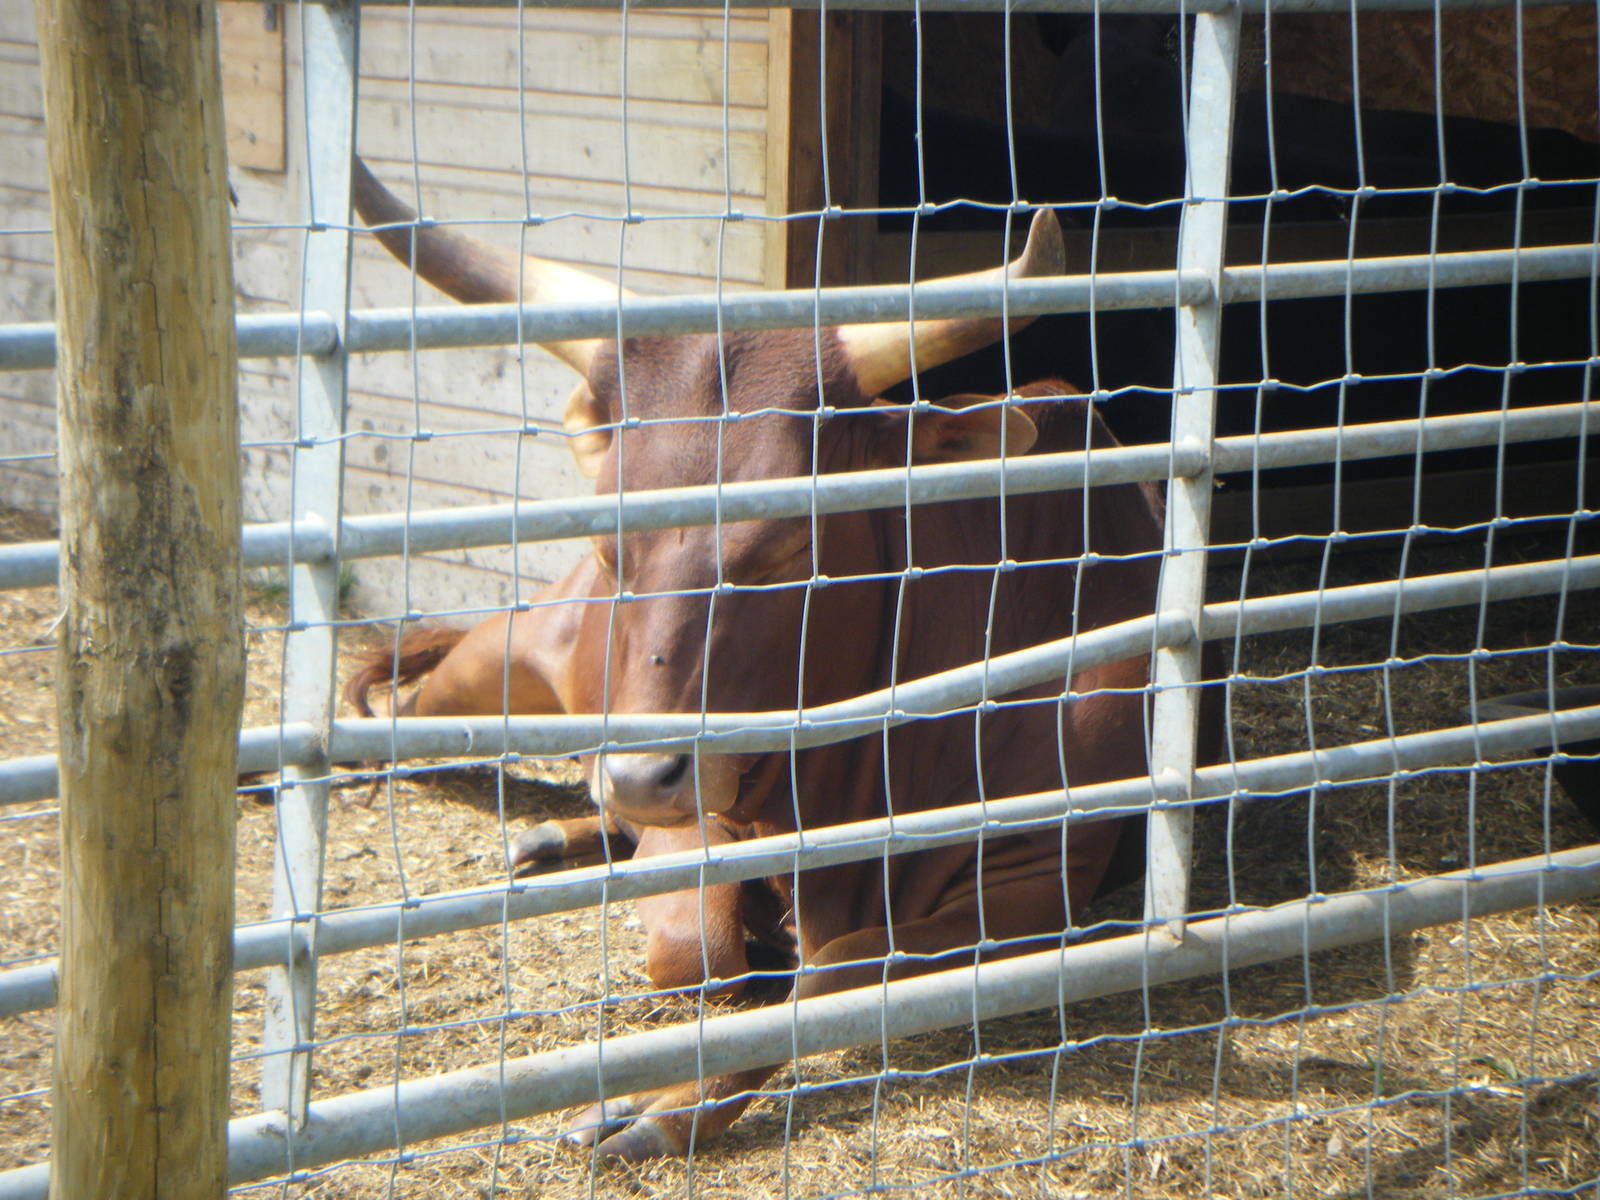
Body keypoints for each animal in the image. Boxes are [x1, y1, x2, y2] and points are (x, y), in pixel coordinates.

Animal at [352, 158, 1172, 1161]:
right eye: (610, 542)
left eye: (789, 546)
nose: (641, 775)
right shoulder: (702, 808)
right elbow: (699, 953)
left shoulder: (1041, 880)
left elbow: (836, 972)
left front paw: (666, 1103)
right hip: (507, 665)